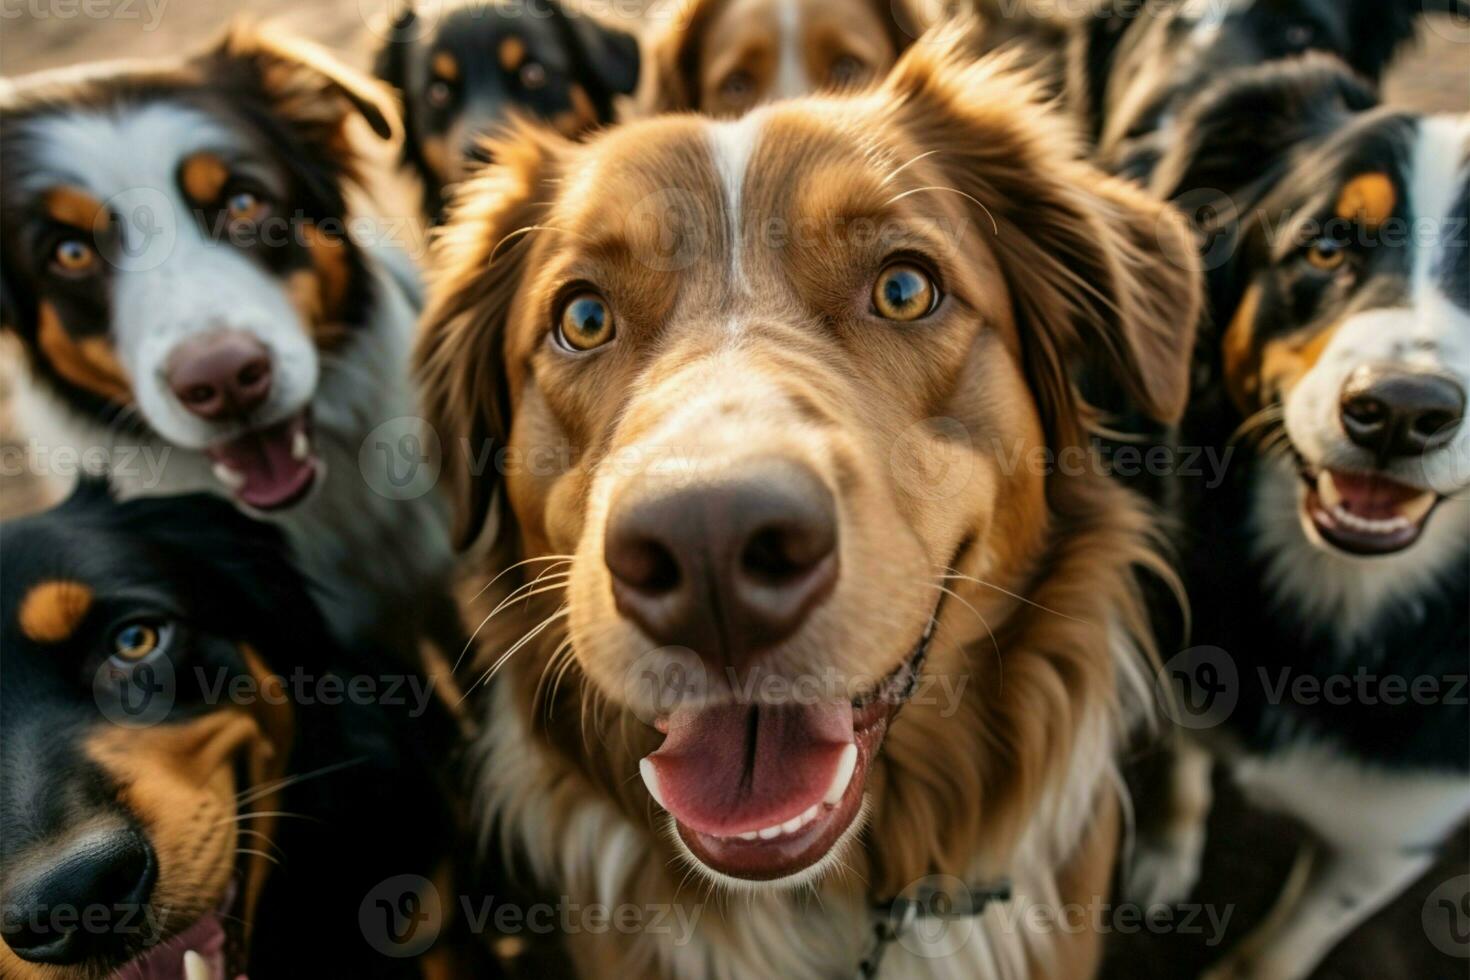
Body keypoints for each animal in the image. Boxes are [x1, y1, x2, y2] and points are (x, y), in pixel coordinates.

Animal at [1140, 57, 1464, 980]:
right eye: (1325, 246)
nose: (1401, 411)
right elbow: (1181, 763)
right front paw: (1163, 856)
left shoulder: (1389, 839)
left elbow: (1285, 943)